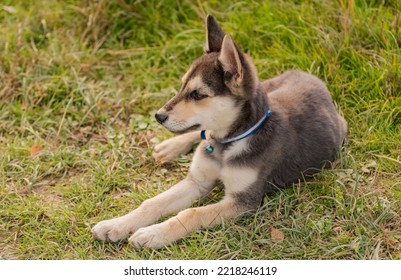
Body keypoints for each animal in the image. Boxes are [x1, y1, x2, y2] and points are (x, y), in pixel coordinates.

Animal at [92, 15, 346, 248]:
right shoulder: (197, 181)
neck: (230, 142)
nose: (158, 116)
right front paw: (115, 225)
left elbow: (191, 213)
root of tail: (309, 75)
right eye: (182, 86)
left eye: (197, 94)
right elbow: (152, 203)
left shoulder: (242, 201)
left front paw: (153, 234)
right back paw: (170, 147)